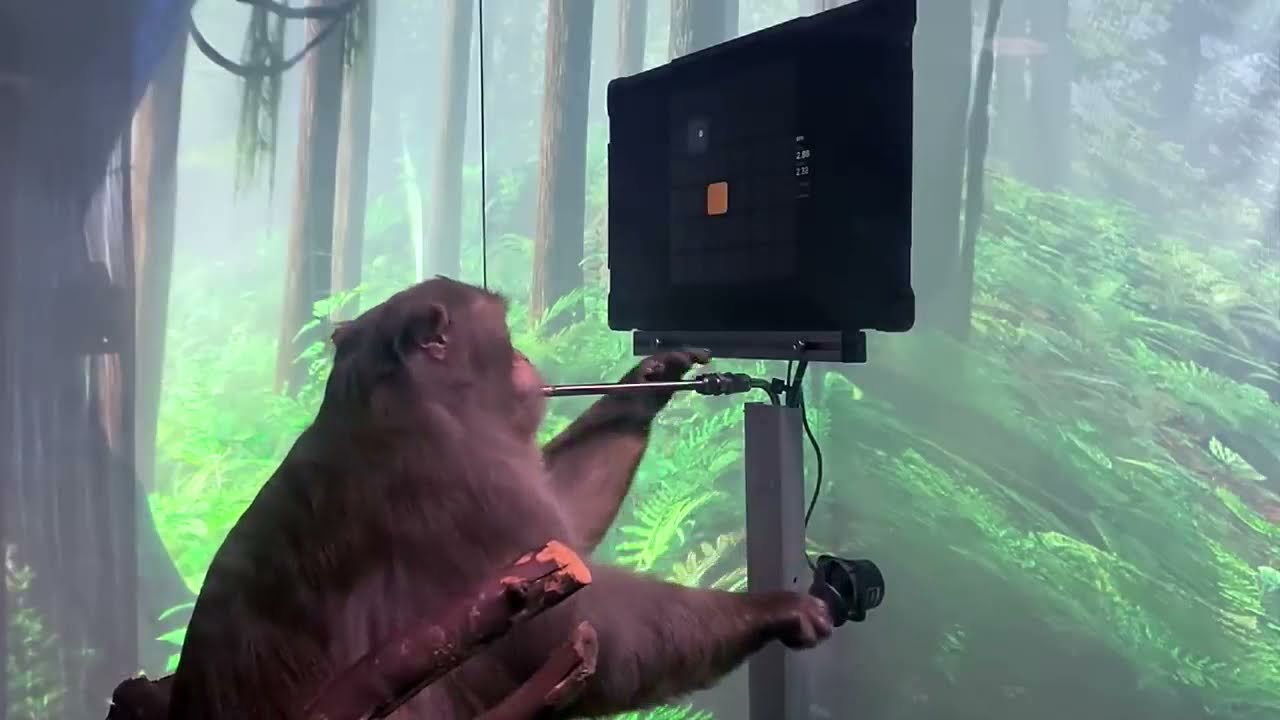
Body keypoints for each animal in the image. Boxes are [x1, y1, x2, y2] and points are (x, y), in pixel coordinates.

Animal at [165, 277, 833, 719]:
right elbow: (586, 624)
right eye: (505, 336)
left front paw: (646, 383)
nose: (526, 357)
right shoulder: (458, 479)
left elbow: (565, 530)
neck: (411, 399)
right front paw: (773, 608)